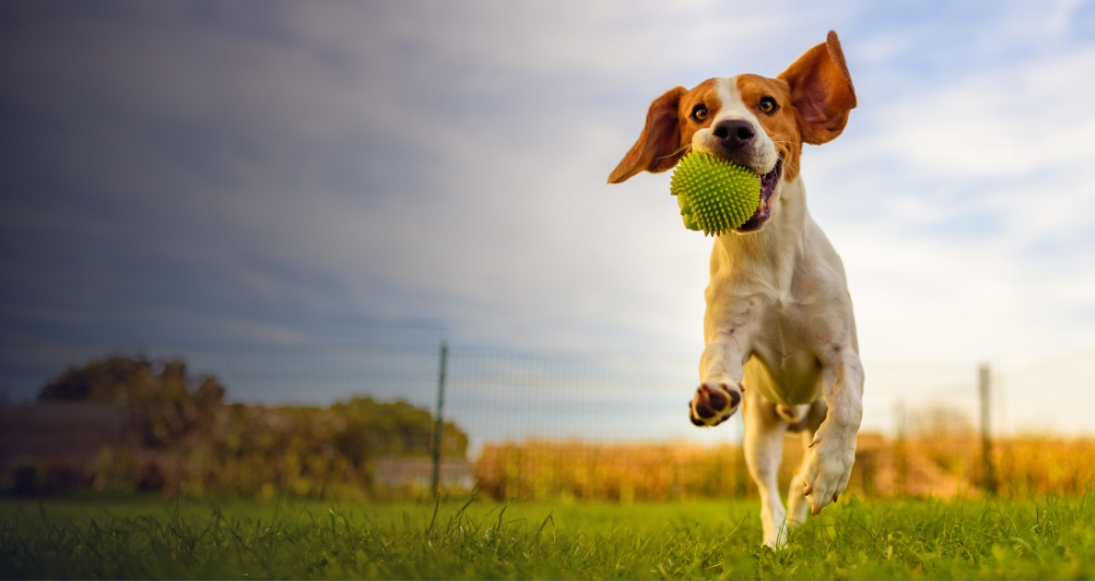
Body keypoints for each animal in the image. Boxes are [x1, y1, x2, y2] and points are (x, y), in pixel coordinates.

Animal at [608, 31, 862, 549]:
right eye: (699, 112)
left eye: (767, 104)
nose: (732, 130)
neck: (770, 255)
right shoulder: (728, 333)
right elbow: (715, 360)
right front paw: (711, 396)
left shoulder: (842, 353)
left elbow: (848, 406)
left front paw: (829, 469)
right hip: (758, 433)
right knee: (769, 490)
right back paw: (776, 538)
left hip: (810, 411)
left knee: (800, 469)